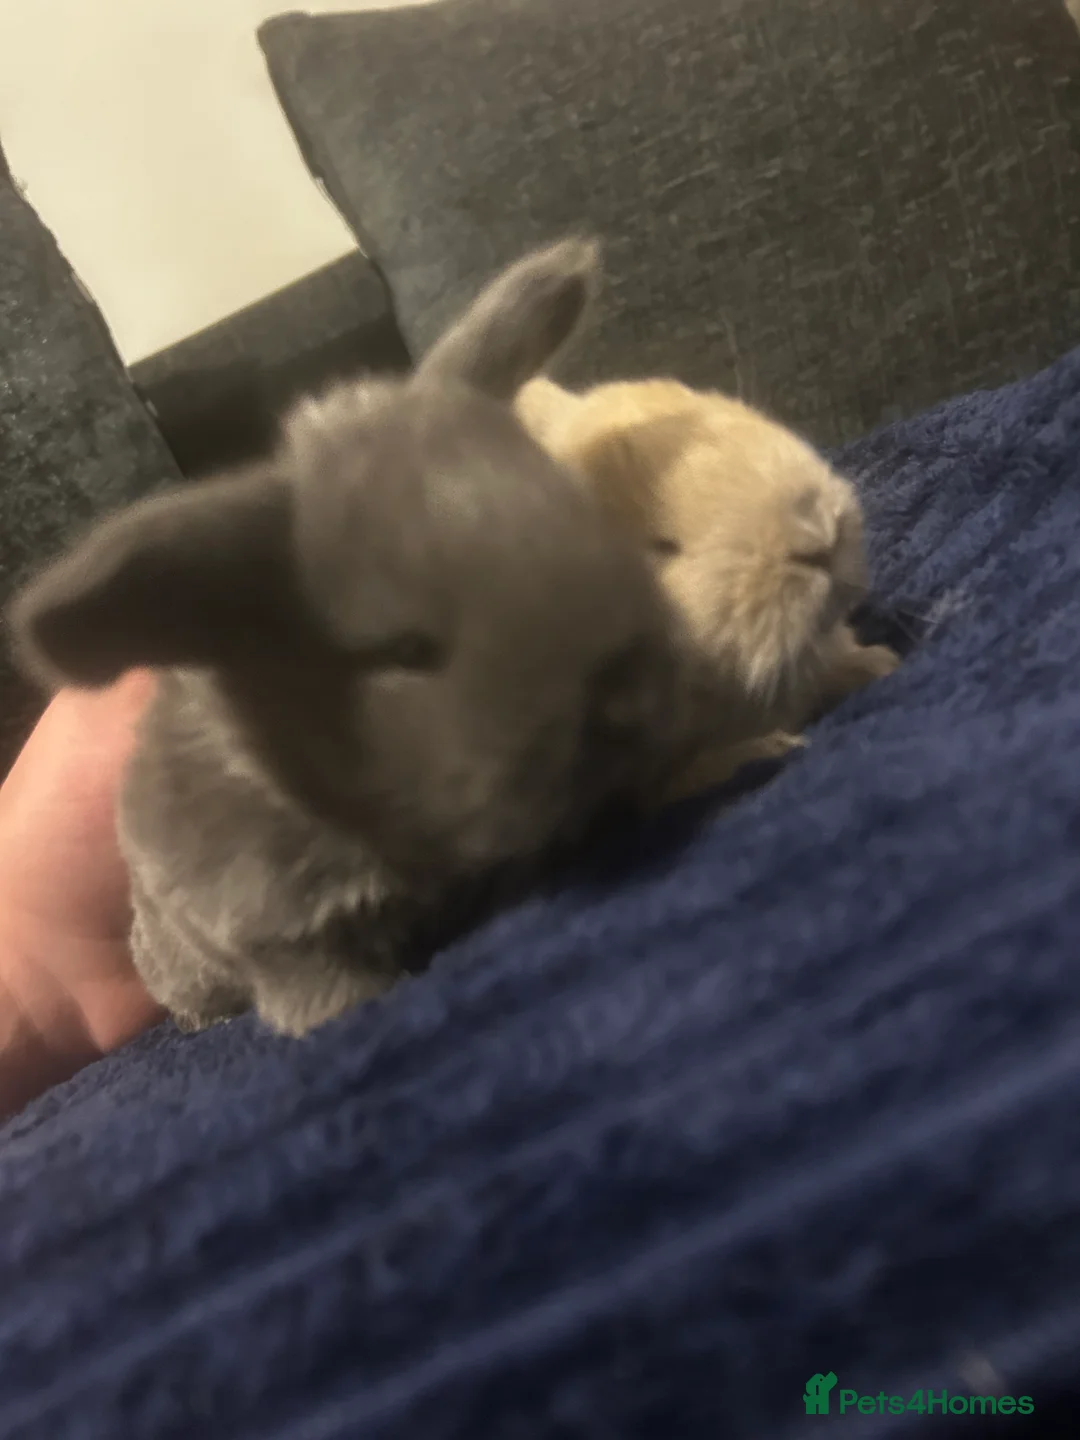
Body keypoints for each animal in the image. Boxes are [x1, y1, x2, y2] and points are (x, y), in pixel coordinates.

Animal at [7, 239, 714, 1038]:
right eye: (406, 650)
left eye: (584, 515)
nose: (640, 700)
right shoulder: (261, 923)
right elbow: (305, 971)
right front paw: (339, 1009)